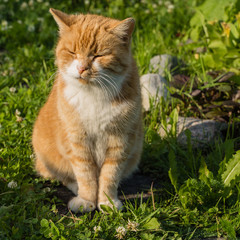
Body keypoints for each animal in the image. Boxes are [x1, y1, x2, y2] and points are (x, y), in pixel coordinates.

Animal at [31, 8, 142, 213]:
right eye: (72, 52)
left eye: (98, 55)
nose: (82, 68)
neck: (93, 93)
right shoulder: (78, 141)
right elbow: (85, 174)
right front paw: (86, 200)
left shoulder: (120, 140)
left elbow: (110, 174)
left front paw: (107, 201)